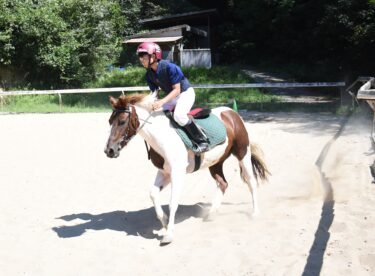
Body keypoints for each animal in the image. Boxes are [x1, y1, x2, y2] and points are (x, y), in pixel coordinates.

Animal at [105, 93, 270, 246]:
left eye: (122, 121)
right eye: (110, 121)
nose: (109, 151)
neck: (161, 136)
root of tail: (231, 112)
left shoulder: (177, 172)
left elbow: (173, 202)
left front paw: (169, 234)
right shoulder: (165, 172)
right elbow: (153, 194)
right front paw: (165, 221)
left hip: (242, 152)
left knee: (251, 182)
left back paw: (255, 213)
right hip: (215, 162)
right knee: (223, 183)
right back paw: (212, 213)